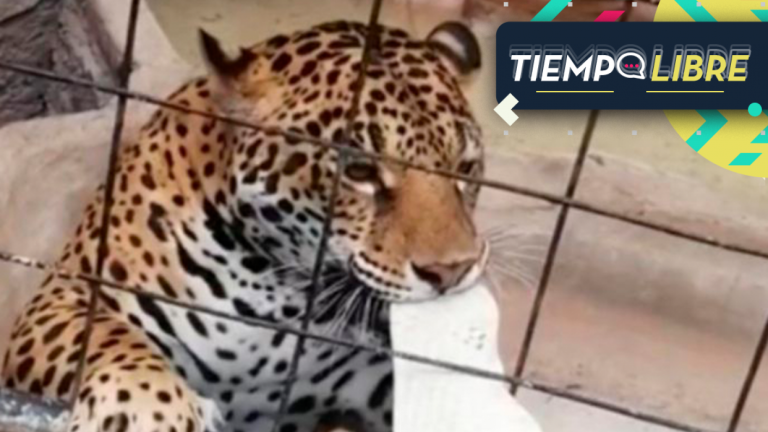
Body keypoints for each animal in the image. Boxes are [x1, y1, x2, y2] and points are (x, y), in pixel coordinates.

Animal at [1, 19, 486, 432]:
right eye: (360, 171)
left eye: (465, 167)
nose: (452, 271)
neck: (276, 290)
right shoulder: (65, 297)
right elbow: (112, 340)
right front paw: (149, 411)